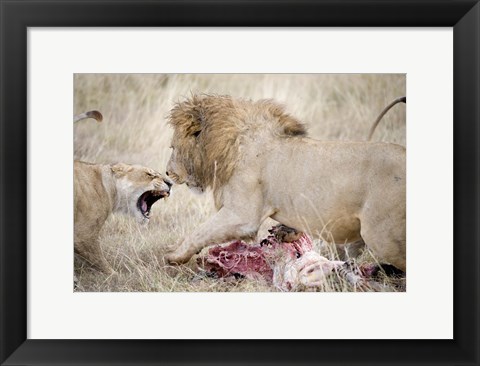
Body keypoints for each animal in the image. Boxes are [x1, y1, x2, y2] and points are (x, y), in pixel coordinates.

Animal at [165, 94, 404, 272]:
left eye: (173, 147)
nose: (167, 173)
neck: (230, 145)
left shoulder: (242, 215)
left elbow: (201, 231)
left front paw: (174, 255)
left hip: (381, 236)